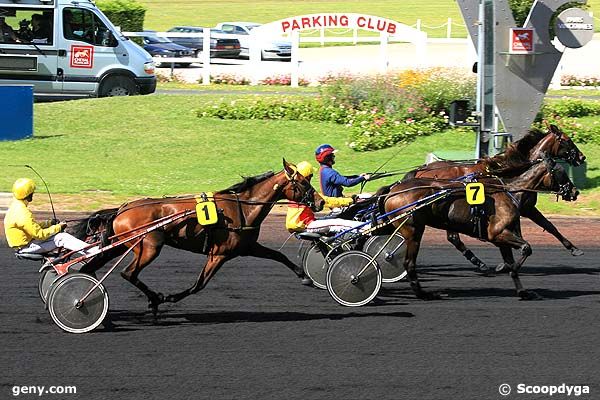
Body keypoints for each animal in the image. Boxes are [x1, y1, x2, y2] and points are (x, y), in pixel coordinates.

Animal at [72, 158, 326, 314]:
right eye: (303, 183)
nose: (321, 202)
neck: (242, 208)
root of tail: (121, 209)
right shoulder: (219, 254)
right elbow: (199, 284)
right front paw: (169, 298)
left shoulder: (247, 247)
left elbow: (279, 256)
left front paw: (305, 277)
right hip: (149, 246)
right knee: (128, 273)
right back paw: (153, 299)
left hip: (119, 244)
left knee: (93, 267)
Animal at [380, 156, 580, 300]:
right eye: (561, 172)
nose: (575, 191)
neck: (510, 192)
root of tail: (393, 190)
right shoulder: (497, 234)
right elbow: (526, 248)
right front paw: (507, 269)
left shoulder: (504, 238)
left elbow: (514, 257)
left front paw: (523, 292)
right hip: (413, 230)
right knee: (409, 263)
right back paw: (423, 294)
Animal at [404, 123, 584, 272]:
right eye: (567, 140)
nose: (582, 157)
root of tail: (421, 170)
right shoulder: (525, 208)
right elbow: (547, 226)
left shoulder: (521, 208)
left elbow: (545, 226)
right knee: (453, 237)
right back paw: (479, 263)